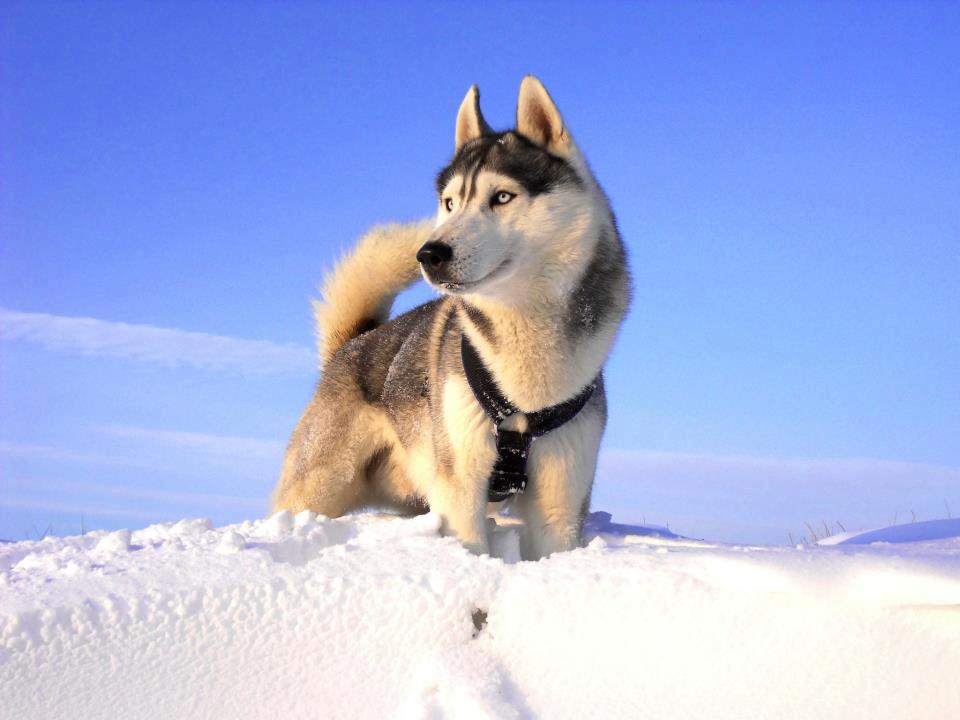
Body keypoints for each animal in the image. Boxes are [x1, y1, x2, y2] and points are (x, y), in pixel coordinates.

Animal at [272, 80, 632, 564]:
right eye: (450, 203)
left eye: (502, 197)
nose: (429, 253)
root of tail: (352, 344)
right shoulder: (462, 486)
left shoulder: (560, 501)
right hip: (320, 487)